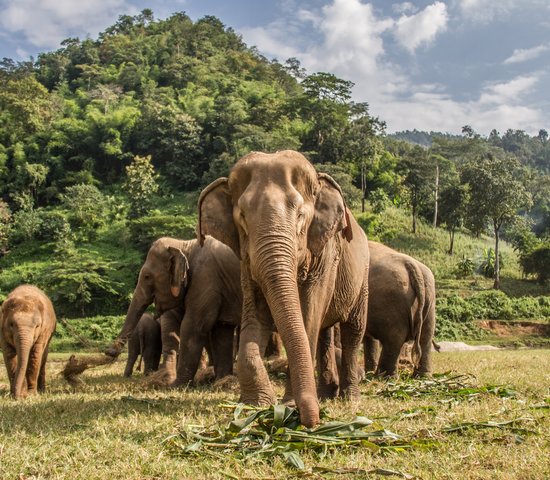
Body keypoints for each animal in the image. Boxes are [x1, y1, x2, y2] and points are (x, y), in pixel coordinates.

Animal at [105, 234, 242, 384]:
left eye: (147, 276)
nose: (109, 352)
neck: (184, 245)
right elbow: (220, 329)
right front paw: (221, 381)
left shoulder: (206, 281)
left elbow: (192, 326)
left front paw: (176, 385)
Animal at [198, 150, 370, 428]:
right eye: (242, 217)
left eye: (300, 215)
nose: (312, 421)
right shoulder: (247, 262)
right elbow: (256, 315)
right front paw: (255, 405)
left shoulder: (325, 255)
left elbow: (308, 315)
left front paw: (288, 405)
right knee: (325, 332)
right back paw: (325, 394)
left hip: (362, 276)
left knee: (353, 331)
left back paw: (349, 398)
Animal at [364, 242, 438, 376]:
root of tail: (412, 266)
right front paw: (368, 373)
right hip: (430, 299)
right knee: (426, 336)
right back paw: (422, 376)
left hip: (392, 301)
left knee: (394, 338)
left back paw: (384, 376)